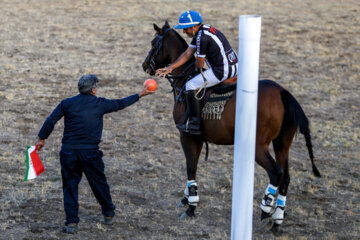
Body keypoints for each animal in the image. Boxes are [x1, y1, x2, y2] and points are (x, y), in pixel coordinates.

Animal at [141, 22, 320, 231]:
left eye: (153, 43)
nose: (145, 65)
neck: (184, 81)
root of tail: (283, 93)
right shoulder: (199, 138)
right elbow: (193, 167)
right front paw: (186, 199)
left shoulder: (187, 135)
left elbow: (190, 168)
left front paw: (191, 207)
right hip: (282, 144)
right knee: (286, 177)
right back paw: (277, 220)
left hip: (257, 147)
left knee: (276, 173)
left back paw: (265, 211)